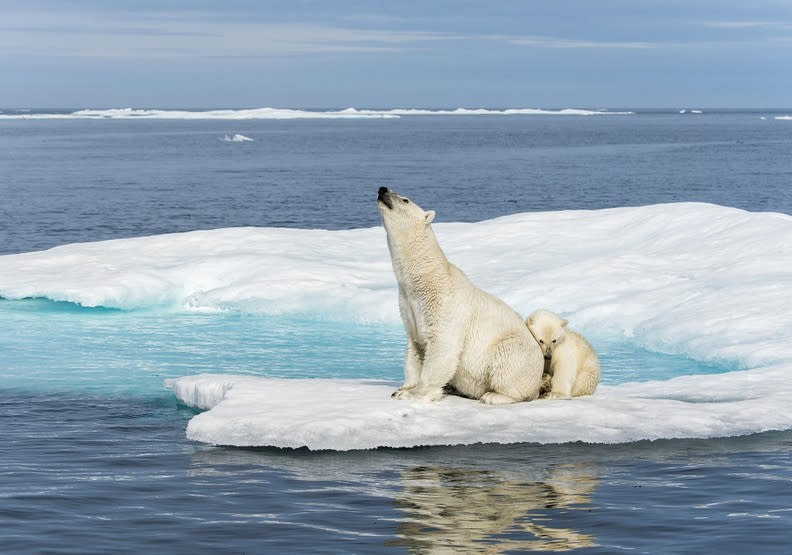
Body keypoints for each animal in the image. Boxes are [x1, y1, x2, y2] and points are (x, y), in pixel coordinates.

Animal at [378, 187, 544, 404]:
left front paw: (414, 393)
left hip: (515, 352)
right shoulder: (409, 305)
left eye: (405, 199)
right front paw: (403, 388)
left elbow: (442, 346)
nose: (382, 189)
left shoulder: (443, 304)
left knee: (507, 364)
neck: (425, 278)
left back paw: (493, 395)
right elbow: (415, 347)